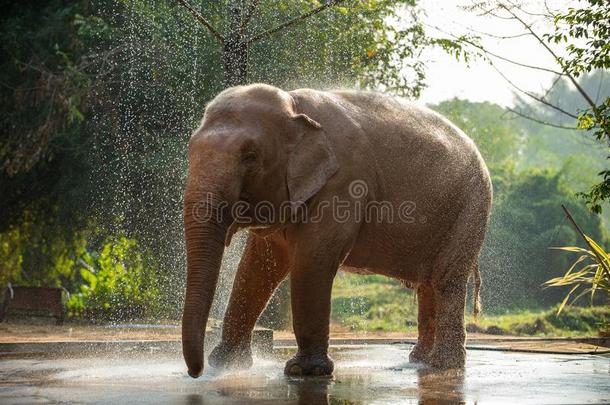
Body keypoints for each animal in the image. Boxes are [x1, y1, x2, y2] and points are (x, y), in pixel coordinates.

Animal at [180, 83, 490, 378]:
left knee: (447, 280)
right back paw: (419, 362)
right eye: (189, 148)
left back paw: (442, 366)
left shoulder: (342, 184)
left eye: (250, 156)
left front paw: (305, 371)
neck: (294, 105)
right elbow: (257, 266)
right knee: (428, 285)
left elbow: (312, 260)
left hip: (471, 209)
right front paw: (226, 364)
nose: (196, 373)